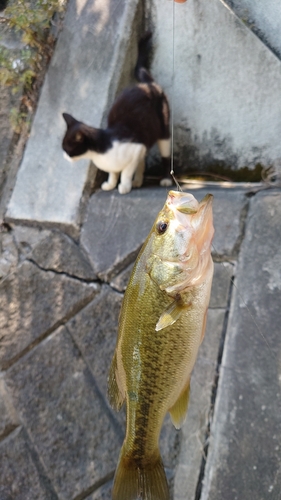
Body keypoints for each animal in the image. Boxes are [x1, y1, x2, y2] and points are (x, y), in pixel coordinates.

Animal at [61, 32, 171, 194]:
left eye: (67, 148)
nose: (64, 156)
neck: (100, 153)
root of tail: (147, 84)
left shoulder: (135, 149)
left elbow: (126, 171)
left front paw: (124, 186)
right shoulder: (132, 153)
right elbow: (113, 172)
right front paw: (111, 184)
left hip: (163, 130)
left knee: (165, 155)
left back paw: (165, 179)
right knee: (142, 162)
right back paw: (138, 181)